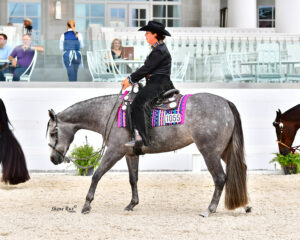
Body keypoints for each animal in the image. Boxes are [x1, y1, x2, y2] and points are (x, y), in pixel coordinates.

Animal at [47, 92, 250, 218]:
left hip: (209, 152)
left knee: (220, 178)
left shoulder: (114, 151)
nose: (53, 159)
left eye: (53, 133)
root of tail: (225, 103)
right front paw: (132, 204)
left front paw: (87, 205)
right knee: (240, 171)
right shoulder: (130, 154)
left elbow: (96, 175)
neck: (110, 113)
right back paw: (245, 204)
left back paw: (209, 209)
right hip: (224, 151)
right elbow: (133, 179)